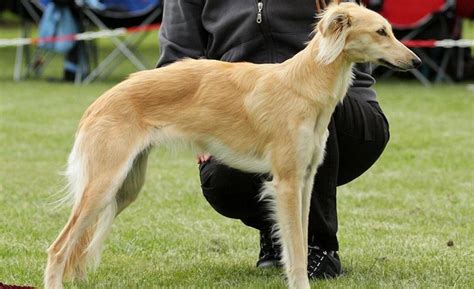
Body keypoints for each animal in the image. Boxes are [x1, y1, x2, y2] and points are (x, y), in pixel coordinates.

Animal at [44, 2, 420, 288]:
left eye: (390, 29)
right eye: (381, 31)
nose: (416, 62)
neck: (304, 83)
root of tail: (99, 102)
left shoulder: (305, 179)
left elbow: (299, 240)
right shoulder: (286, 182)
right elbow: (296, 250)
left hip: (125, 187)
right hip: (103, 185)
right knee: (58, 249)